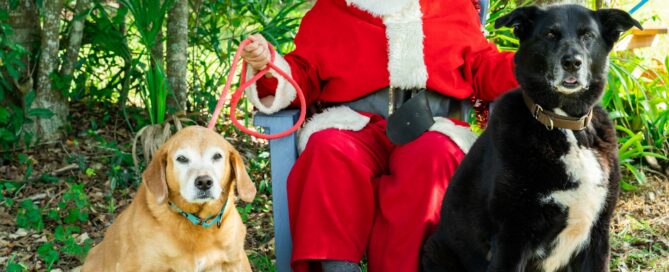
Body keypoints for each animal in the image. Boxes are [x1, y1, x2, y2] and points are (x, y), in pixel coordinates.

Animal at [420, 4, 640, 272]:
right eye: (550, 34)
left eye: (588, 35)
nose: (572, 62)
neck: (563, 124)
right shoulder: (512, 237)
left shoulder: (597, 236)